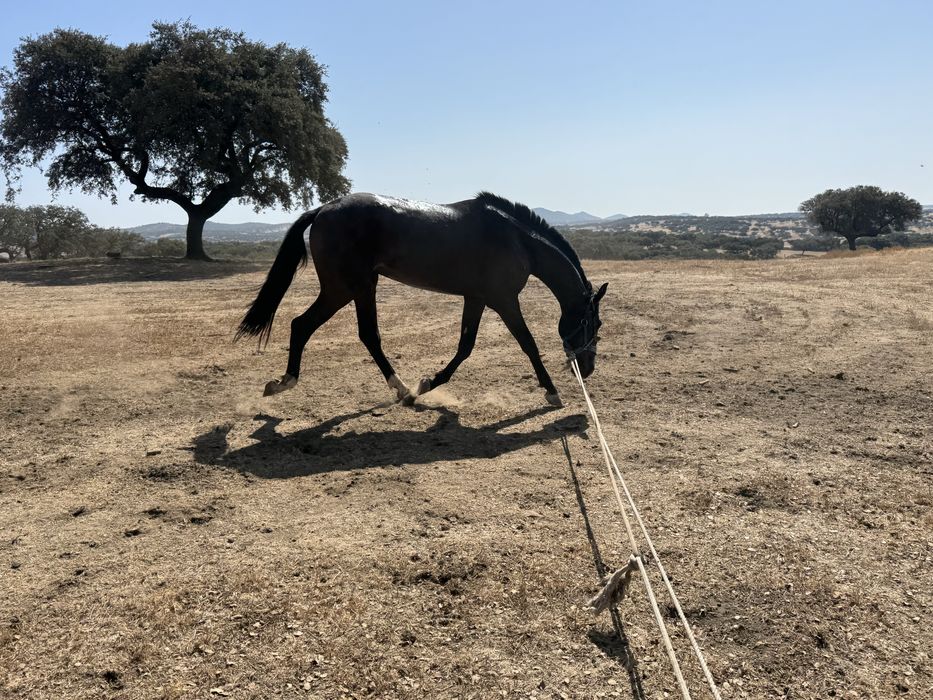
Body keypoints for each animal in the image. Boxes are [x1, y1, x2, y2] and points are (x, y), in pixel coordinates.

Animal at [236, 192, 607, 406]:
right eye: (594, 323)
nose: (587, 368)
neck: (518, 239)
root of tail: (323, 209)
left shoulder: (476, 298)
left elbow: (465, 346)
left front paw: (429, 383)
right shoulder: (504, 300)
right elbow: (527, 343)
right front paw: (552, 392)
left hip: (361, 288)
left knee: (367, 335)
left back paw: (402, 389)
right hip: (343, 289)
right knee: (302, 325)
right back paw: (284, 383)